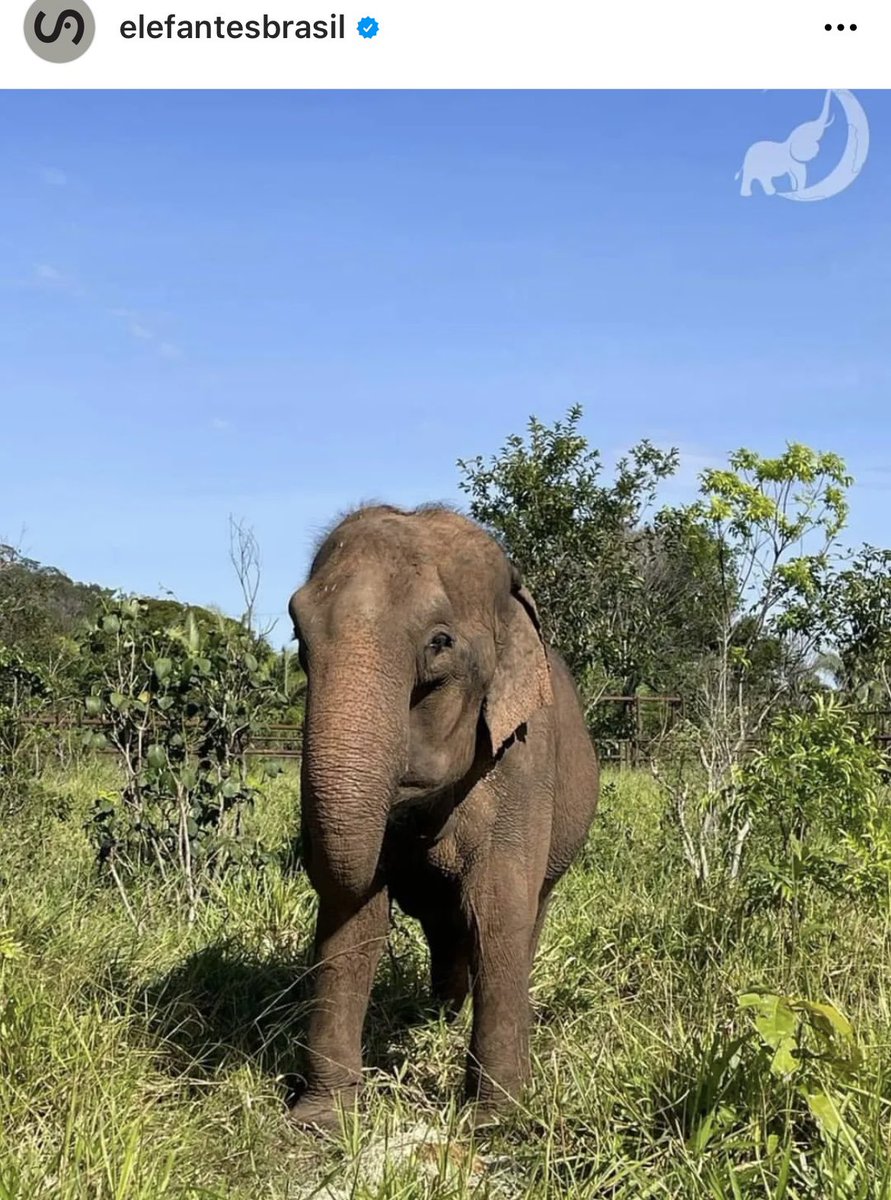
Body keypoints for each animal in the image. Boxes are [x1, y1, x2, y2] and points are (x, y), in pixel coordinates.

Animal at [288, 501, 600, 1128]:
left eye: (439, 643)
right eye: (297, 631)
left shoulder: (524, 761)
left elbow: (497, 907)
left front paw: (493, 1122)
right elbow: (355, 915)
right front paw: (323, 1120)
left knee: (523, 913)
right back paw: (439, 1016)